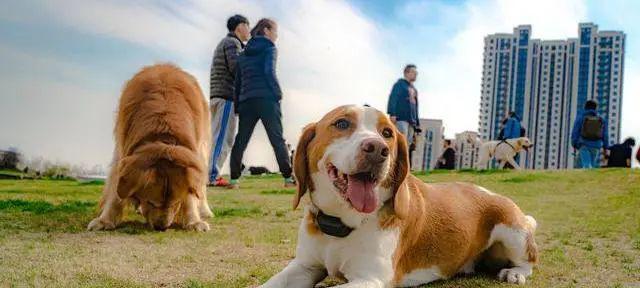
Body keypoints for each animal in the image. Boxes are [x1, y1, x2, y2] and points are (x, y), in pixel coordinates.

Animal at [88, 64, 212, 232]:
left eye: (175, 203)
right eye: (151, 202)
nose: (161, 227)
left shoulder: (192, 156)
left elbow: (191, 193)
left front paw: (194, 221)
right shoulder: (122, 150)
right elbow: (115, 192)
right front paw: (105, 220)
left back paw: (204, 210)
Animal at [262, 105, 536, 286]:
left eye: (387, 133)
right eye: (341, 124)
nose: (377, 149)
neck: (340, 223)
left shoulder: (370, 279)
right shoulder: (303, 266)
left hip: (513, 234)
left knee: (529, 262)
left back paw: (514, 272)